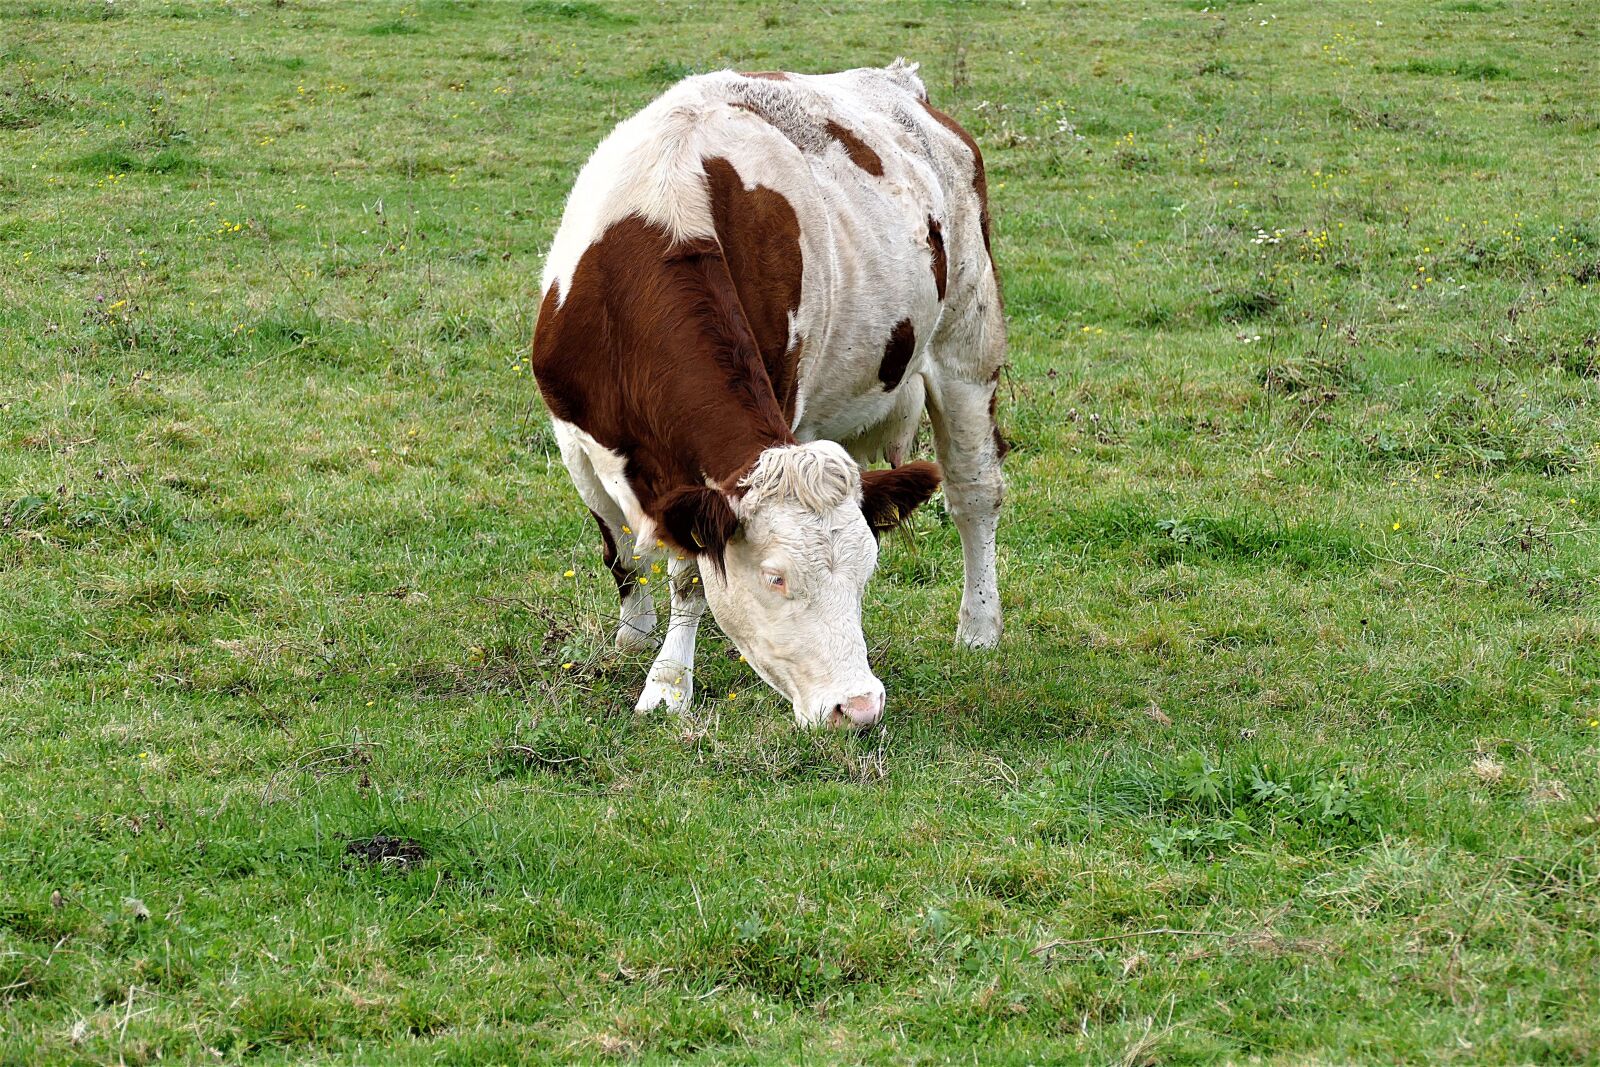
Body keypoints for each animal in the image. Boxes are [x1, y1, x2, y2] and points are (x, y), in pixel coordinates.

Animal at [531, 60, 1006, 729]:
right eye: (776, 578)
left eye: (865, 573)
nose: (858, 706)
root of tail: (899, 83)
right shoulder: (575, 436)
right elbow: (619, 546)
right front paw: (634, 634)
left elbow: (689, 574)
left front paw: (668, 684)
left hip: (968, 341)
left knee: (973, 492)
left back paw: (979, 626)